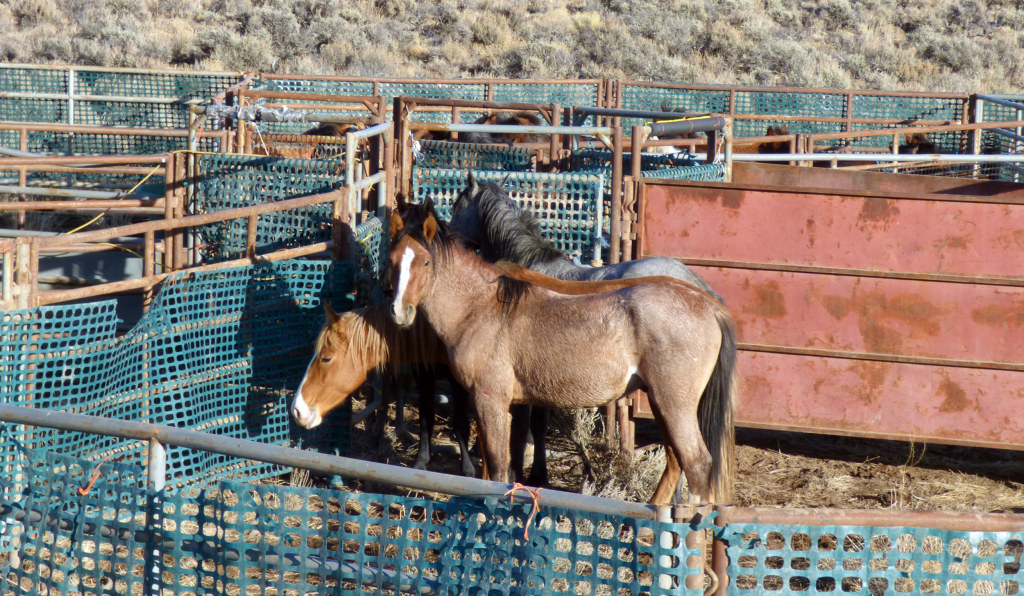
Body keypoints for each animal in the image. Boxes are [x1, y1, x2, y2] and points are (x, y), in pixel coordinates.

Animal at [388, 201, 736, 505]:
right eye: (392, 259)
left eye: (426, 261)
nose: (400, 312)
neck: (482, 307)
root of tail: (708, 305)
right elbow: (491, 465)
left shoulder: (491, 401)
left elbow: (498, 468)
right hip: (662, 403)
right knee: (676, 460)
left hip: (673, 404)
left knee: (697, 463)